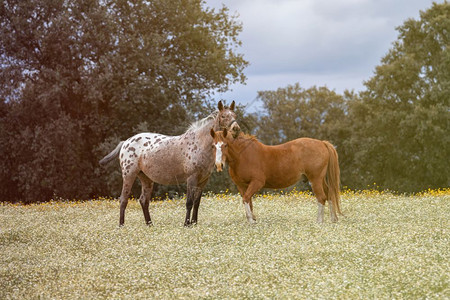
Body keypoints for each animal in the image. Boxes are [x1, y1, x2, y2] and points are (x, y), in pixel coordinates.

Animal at [98, 101, 239, 225]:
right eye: (223, 116)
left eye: (235, 115)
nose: (236, 128)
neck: (200, 143)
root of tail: (125, 142)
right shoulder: (191, 178)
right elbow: (189, 202)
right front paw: (187, 224)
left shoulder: (203, 180)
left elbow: (197, 203)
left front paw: (194, 223)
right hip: (129, 175)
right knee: (123, 199)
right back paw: (121, 225)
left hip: (146, 179)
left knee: (143, 201)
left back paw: (150, 224)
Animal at [210, 127, 342, 224]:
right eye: (213, 145)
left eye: (225, 145)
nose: (219, 165)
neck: (243, 156)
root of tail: (322, 143)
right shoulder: (241, 186)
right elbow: (248, 201)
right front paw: (252, 219)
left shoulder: (257, 183)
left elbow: (246, 199)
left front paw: (251, 221)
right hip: (320, 180)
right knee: (329, 194)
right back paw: (333, 219)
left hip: (315, 180)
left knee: (321, 198)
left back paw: (319, 221)